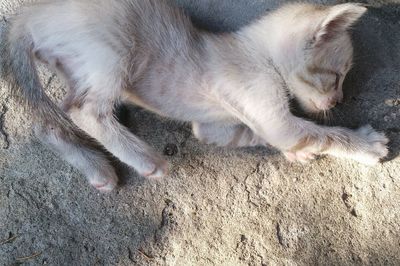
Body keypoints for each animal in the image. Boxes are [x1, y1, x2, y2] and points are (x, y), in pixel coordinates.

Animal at [0, 0, 388, 191]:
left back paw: (96, 168)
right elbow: (319, 134)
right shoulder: (275, 116)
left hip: (76, 71)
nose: (338, 102)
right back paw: (144, 159)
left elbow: (252, 133)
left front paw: (297, 154)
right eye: (336, 77)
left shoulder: (215, 126)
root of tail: (30, 13)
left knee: (48, 122)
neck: (257, 54)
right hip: (112, 51)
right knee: (83, 111)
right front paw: (365, 144)